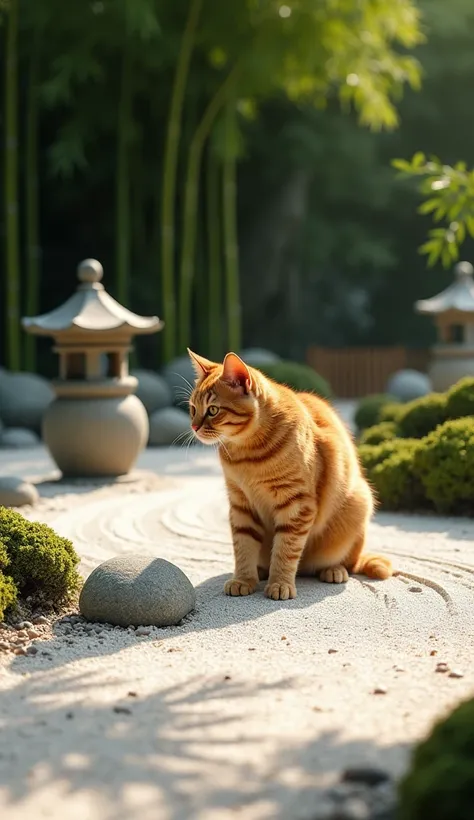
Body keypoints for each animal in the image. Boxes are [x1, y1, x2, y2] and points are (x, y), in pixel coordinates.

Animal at [187, 350, 390, 600]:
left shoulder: (296, 505)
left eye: (213, 410)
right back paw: (261, 570)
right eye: (193, 409)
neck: (246, 455)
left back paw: (333, 570)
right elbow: (243, 546)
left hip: (359, 503)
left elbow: (286, 549)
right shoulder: (241, 504)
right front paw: (243, 579)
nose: (194, 427)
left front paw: (280, 583)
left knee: (348, 563)